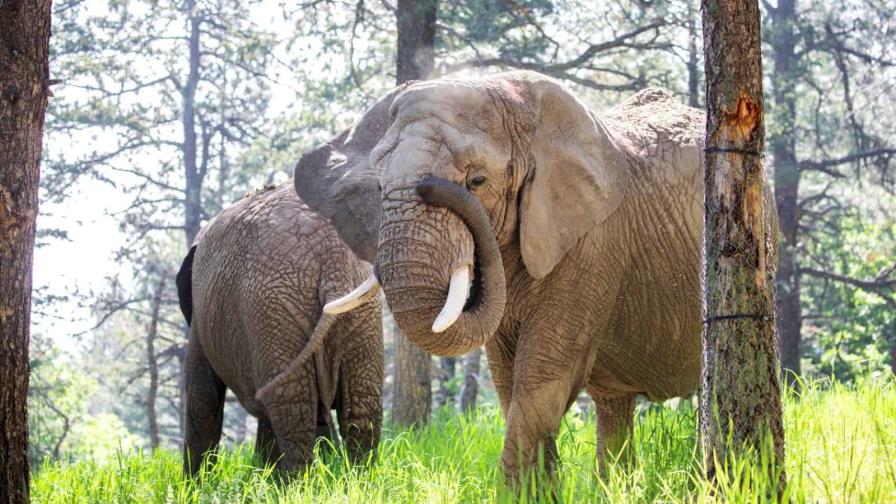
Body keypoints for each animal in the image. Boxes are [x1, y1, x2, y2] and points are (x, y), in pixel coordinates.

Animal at [177, 182, 384, 476]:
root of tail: (332, 263)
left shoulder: (200, 319)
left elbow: (202, 399)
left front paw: (195, 485)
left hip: (272, 311)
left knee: (292, 410)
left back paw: (295, 483)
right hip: (357, 314)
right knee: (360, 409)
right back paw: (356, 479)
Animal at [294, 69, 776, 482]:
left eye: (477, 180)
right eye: (378, 188)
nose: (432, 185)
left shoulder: (592, 243)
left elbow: (543, 375)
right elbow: (508, 381)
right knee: (613, 405)